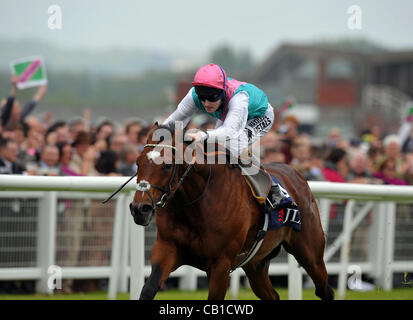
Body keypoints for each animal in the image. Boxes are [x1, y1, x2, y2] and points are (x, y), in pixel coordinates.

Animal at [130, 122, 334, 300]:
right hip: (256, 264)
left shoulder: (221, 264)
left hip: (311, 254)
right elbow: (148, 289)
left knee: (325, 290)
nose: (139, 209)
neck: (196, 203)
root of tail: (298, 173)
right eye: (138, 163)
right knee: (273, 295)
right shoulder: (167, 248)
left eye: (166, 165)